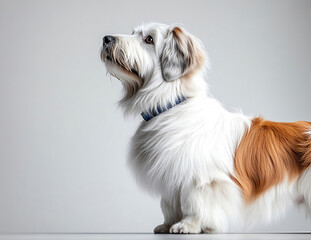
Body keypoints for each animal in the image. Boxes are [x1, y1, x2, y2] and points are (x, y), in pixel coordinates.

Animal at [101, 22, 311, 232]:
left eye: (149, 39)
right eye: (133, 33)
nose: (106, 38)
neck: (171, 107)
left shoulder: (200, 180)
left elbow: (194, 203)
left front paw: (188, 225)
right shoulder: (172, 178)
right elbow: (169, 205)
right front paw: (168, 225)